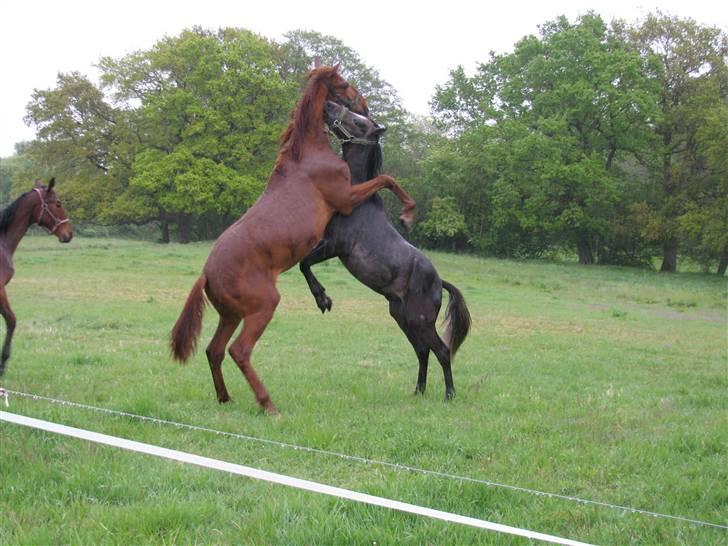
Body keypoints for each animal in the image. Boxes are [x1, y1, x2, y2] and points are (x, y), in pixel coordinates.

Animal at [170, 66, 416, 414]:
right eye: (343, 85)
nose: (364, 104)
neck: (308, 156)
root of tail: (207, 274)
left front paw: (322, 297)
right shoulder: (346, 198)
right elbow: (387, 178)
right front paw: (408, 213)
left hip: (231, 315)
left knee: (214, 350)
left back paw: (225, 397)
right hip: (263, 307)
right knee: (238, 351)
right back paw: (267, 404)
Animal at [300, 102, 471, 400]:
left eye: (360, 123)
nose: (330, 106)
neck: (356, 201)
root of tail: (439, 281)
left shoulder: (334, 247)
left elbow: (304, 263)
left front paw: (323, 300)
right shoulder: (325, 243)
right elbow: (302, 262)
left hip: (420, 320)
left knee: (441, 350)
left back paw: (449, 394)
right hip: (402, 317)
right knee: (422, 351)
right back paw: (418, 391)